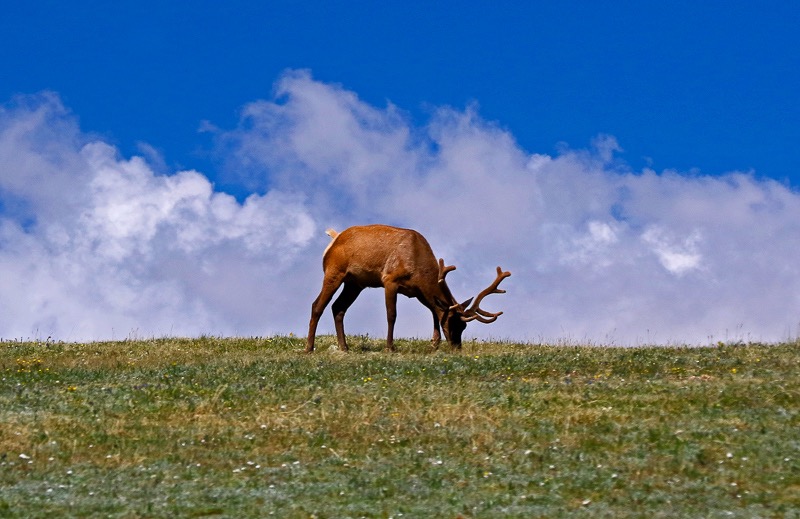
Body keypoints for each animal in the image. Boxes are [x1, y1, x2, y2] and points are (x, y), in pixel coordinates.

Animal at [306, 224, 512, 354]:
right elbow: (392, 315)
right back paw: (309, 348)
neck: (419, 268)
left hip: (355, 283)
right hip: (334, 271)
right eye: (453, 322)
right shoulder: (390, 280)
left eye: (464, 326)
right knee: (317, 305)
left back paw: (344, 347)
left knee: (338, 307)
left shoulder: (417, 292)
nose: (457, 347)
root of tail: (334, 239)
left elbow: (434, 311)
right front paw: (390, 347)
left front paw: (434, 343)